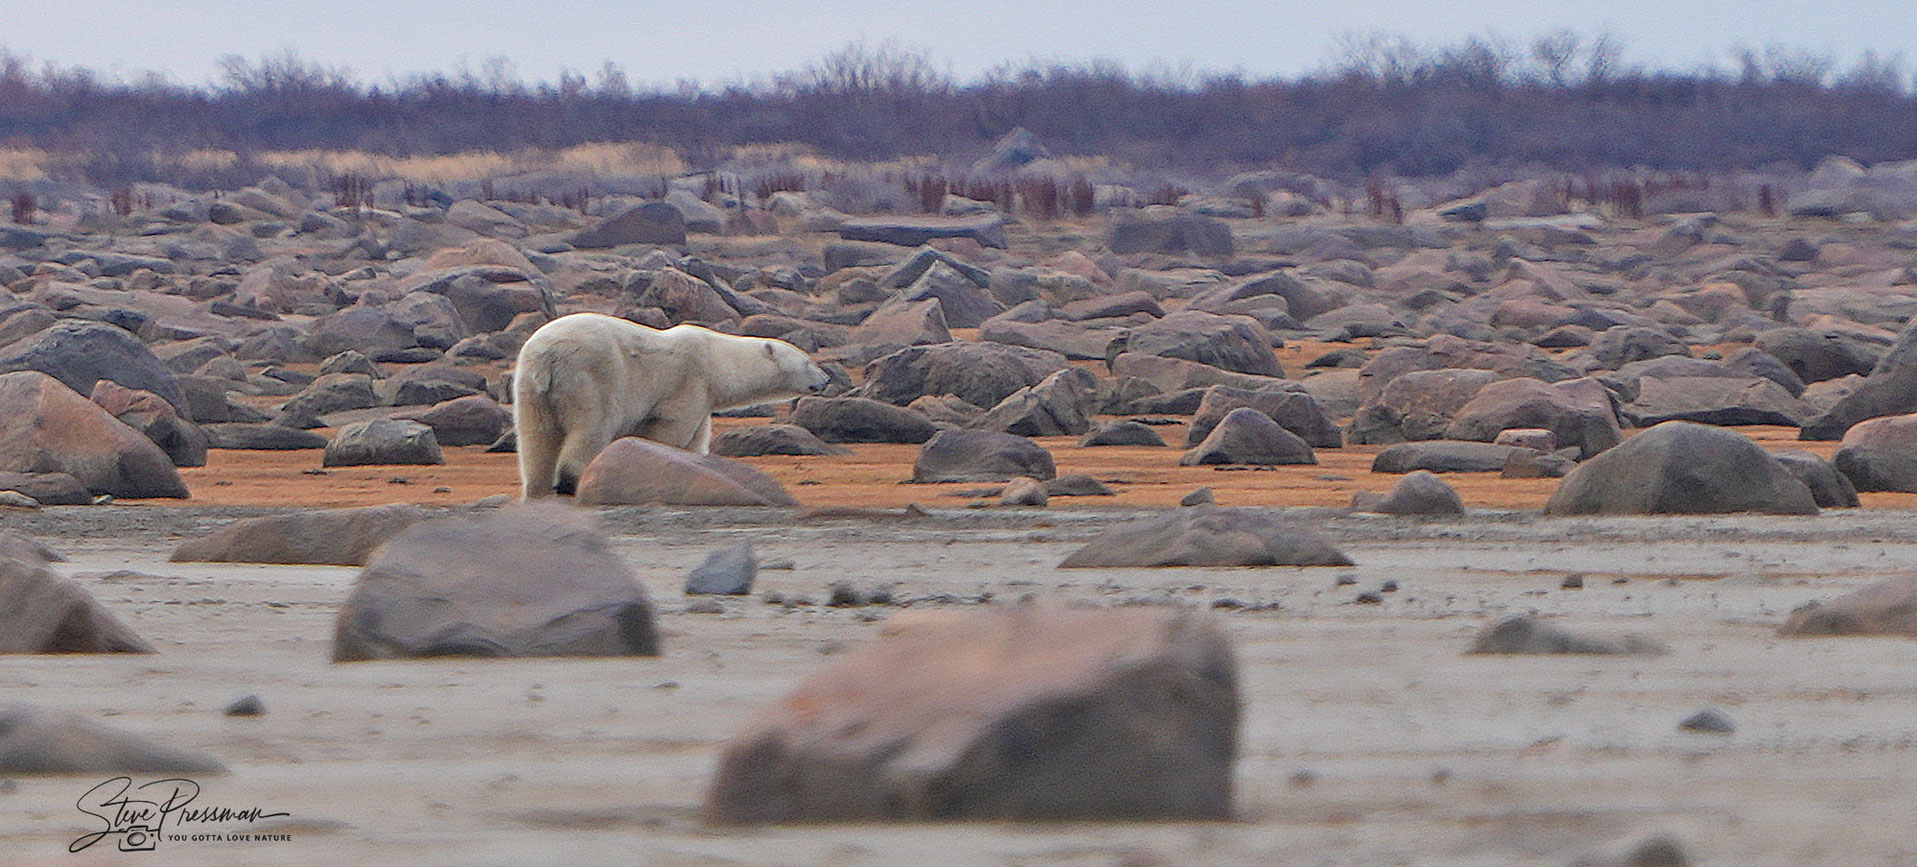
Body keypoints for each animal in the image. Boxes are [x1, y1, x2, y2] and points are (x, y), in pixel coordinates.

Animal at [513, 313, 831, 499]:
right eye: (808, 362)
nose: (826, 379)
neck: (716, 359)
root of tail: (549, 356)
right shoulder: (689, 382)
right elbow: (670, 432)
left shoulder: (704, 396)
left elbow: (696, 441)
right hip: (593, 375)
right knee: (593, 426)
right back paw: (572, 481)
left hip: (531, 388)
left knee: (535, 438)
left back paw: (538, 490)